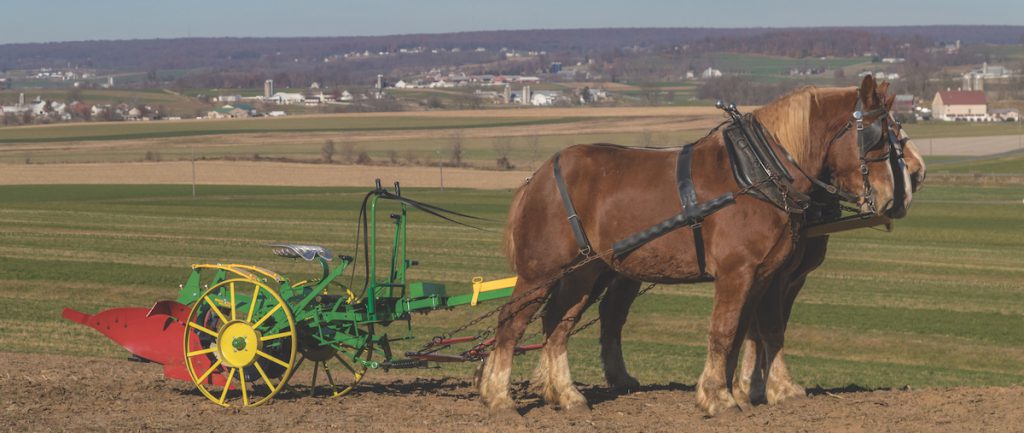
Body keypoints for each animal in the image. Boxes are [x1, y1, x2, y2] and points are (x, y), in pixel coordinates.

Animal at [477, 75, 901, 416]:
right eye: (876, 135)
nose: (889, 197)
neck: (757, 173)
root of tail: (538, 175)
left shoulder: (764, 276)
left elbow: (753, 330)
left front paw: (744, 393)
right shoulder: (737, 273)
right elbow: (725, 332)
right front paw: (719, 398)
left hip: (584, 272)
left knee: (558, 325)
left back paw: (567, 396)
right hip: (541, 272)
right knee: (511, 324)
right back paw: (499, 398)